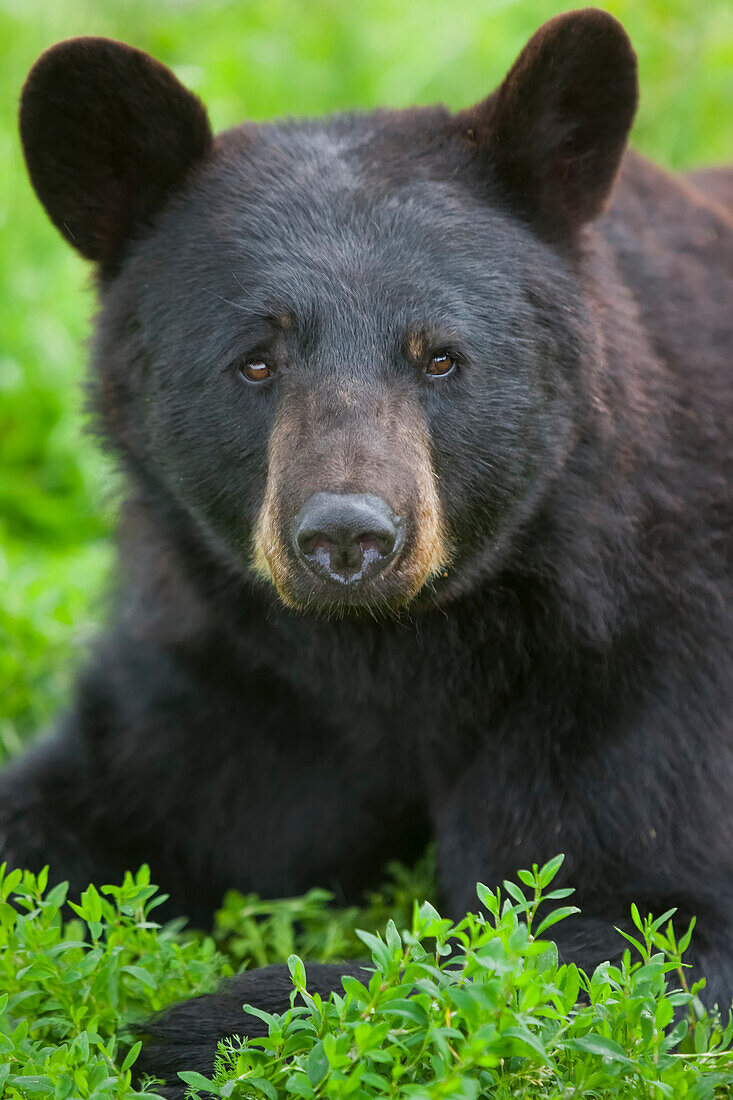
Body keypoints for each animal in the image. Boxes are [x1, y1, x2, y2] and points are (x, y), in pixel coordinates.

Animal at [2, 6, 726, 1091]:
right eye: (254, 361)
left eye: (441, 357)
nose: (348, 536)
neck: (388, 646)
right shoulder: (228, 669)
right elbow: (99, 794)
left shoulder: (647, 651)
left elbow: (615, 921)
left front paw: (188, 1024)